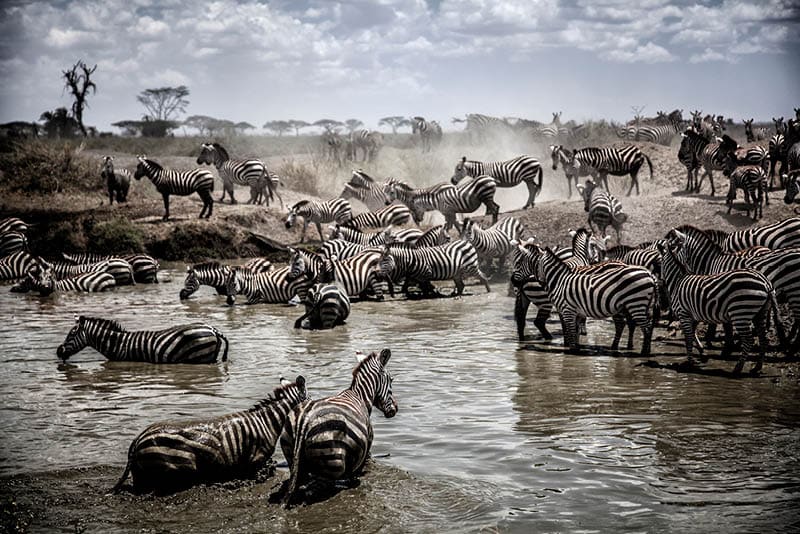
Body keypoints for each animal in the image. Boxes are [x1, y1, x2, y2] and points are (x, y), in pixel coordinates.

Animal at [277, 349, 396, 507]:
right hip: (332, 461)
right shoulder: (365, 446)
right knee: (315, 488)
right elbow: (357, 470)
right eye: (391, 380)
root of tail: (304, 418)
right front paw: (354, 481)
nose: (395, 410)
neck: (361, 396)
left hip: (291, 452)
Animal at [657, 233, 774, 374]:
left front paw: (690, 363)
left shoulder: (683, 313)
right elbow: (693, 334)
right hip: (760, 313)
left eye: (659, 264)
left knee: (748, 340)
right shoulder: (693, 315)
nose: (661, 281)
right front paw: (702, 354)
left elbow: (688, 338)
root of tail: (766, 283)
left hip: (741, 312)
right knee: (763, 339)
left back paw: (738, 368)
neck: (678, 281)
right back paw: (757, 367)